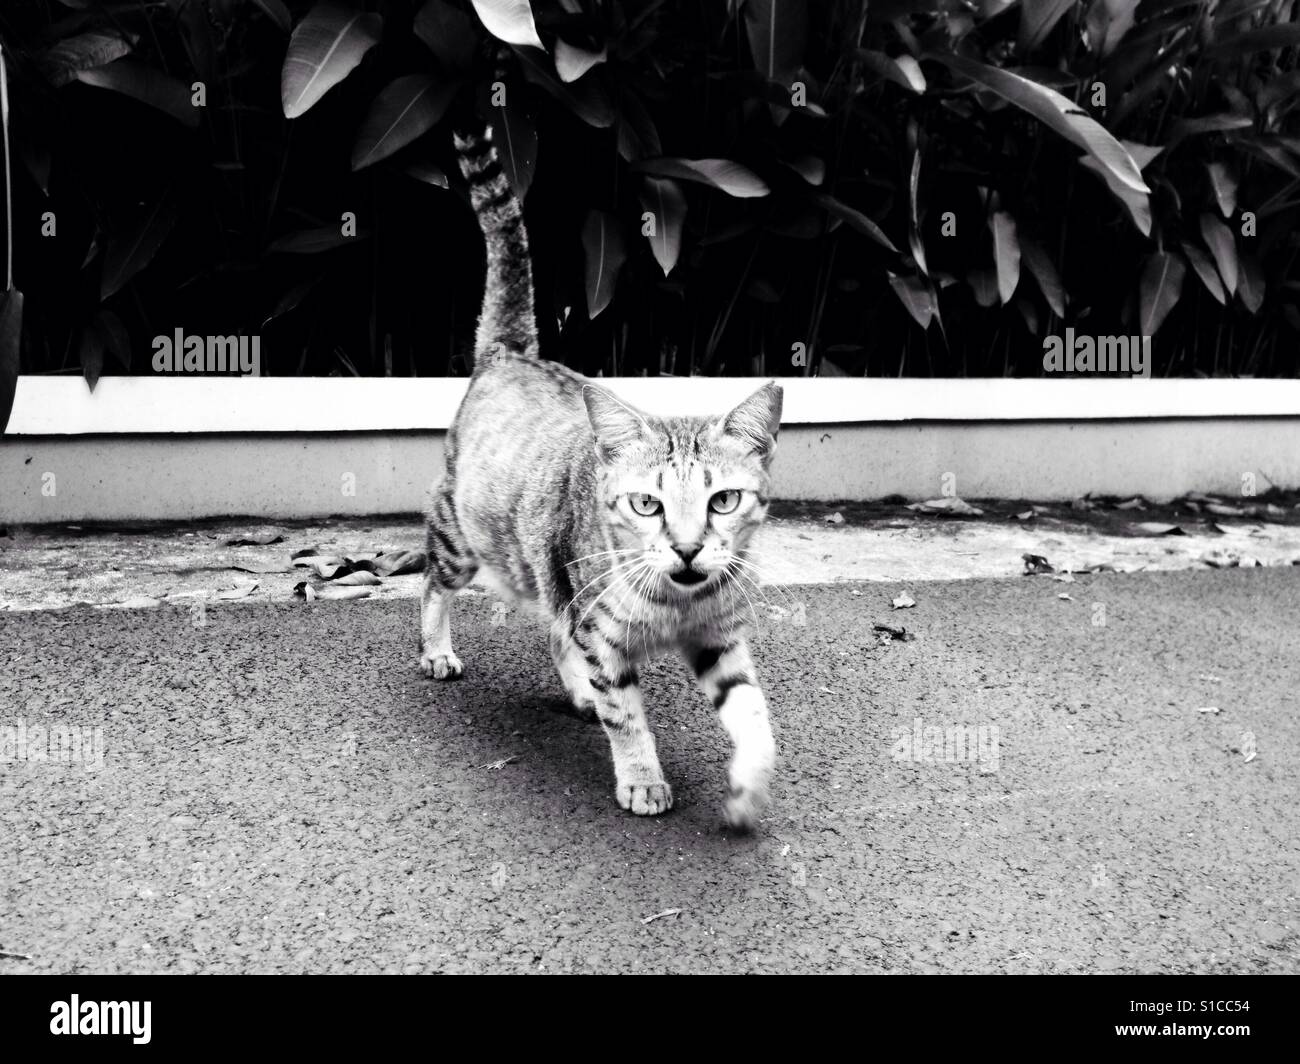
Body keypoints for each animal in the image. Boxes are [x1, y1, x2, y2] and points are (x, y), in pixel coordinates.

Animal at [418, 122, 780, 822]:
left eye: (723, 501)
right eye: (647, 504)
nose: (688, 549)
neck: (675, 605)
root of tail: (511, 353)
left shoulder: (720, 640)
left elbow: (752, 713)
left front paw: (749, 783)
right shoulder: (603, 633)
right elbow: (628, 716)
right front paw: (642, 778)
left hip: (545, 568)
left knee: (552, 627)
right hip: (464, 538)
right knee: (431, 582)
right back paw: (437, 650)